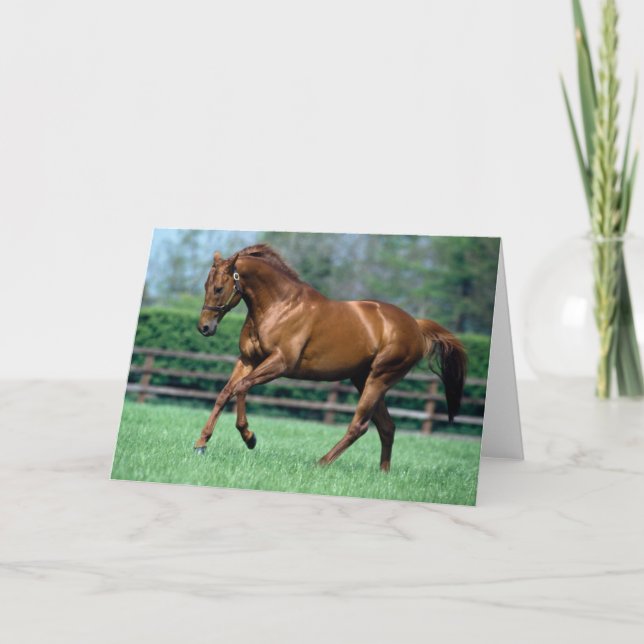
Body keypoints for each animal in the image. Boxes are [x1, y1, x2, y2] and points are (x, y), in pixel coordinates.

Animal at [194, 244, 467, 471]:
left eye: (219, 288)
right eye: (205, 286)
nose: (204, 328)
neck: (279, 306)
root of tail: (415, 326)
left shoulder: (280, 363)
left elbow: (242, 387)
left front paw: (249, 437)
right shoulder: (247, 360)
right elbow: (225, 393)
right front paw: (201, 443)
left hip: (379, 379)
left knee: (360, 426)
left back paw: (321, 463)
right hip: (363, 379)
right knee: (387, 427)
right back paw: (383, 474)